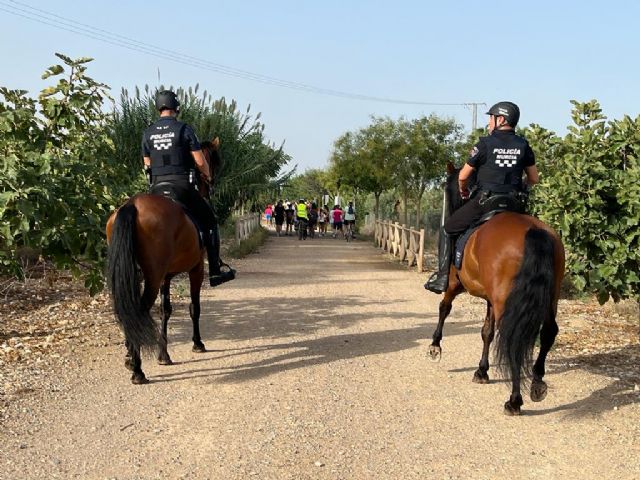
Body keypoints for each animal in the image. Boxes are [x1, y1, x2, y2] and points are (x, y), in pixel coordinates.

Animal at [107, 137, 222, 384]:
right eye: (214, 161)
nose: (212, 182)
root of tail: (132, 205)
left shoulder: (165, 277)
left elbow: (165, 310)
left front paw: (163, 354)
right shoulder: (196, 269)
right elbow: (194, 307)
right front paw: (197, 343)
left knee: (127, 312)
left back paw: (130, 357)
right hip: (152, 277)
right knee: (138, 311)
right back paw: (137, 370)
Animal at [430, 163, 564, 414]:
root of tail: (534, 231)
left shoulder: (453, 283)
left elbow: (444, 307)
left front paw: (435, 347)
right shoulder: (491, 299)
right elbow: (487, 332)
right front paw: (482, 371)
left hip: (504, 300)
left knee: (514, 337)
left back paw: (514, 400)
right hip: (551, 296)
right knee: (548, 332)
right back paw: (537, 383)